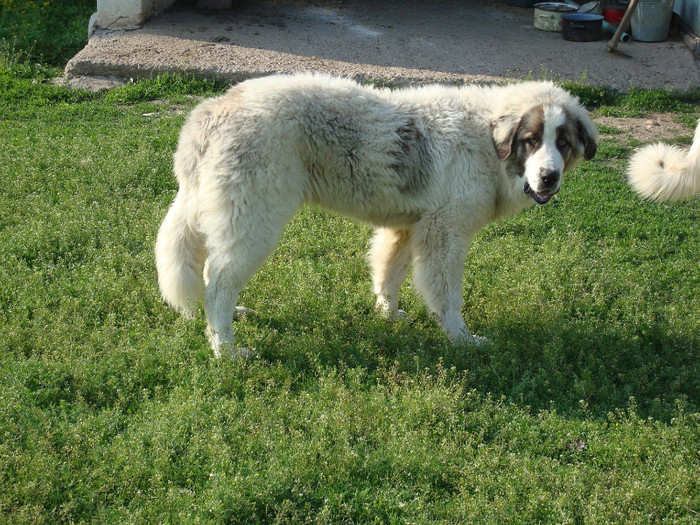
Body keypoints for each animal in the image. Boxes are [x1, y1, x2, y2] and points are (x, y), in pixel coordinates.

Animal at [156, 72, 600, 356]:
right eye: (531, 140)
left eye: (562, 142)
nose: (549, 177)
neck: (486, 140)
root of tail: (216, 108)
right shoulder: (445, 235)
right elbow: (448, 297)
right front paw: (461, 340)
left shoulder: (408, 229)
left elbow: (388, 275)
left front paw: (388, 316)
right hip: (255, 222)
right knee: (217, 285)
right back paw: (226, 350)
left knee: (211, 274)